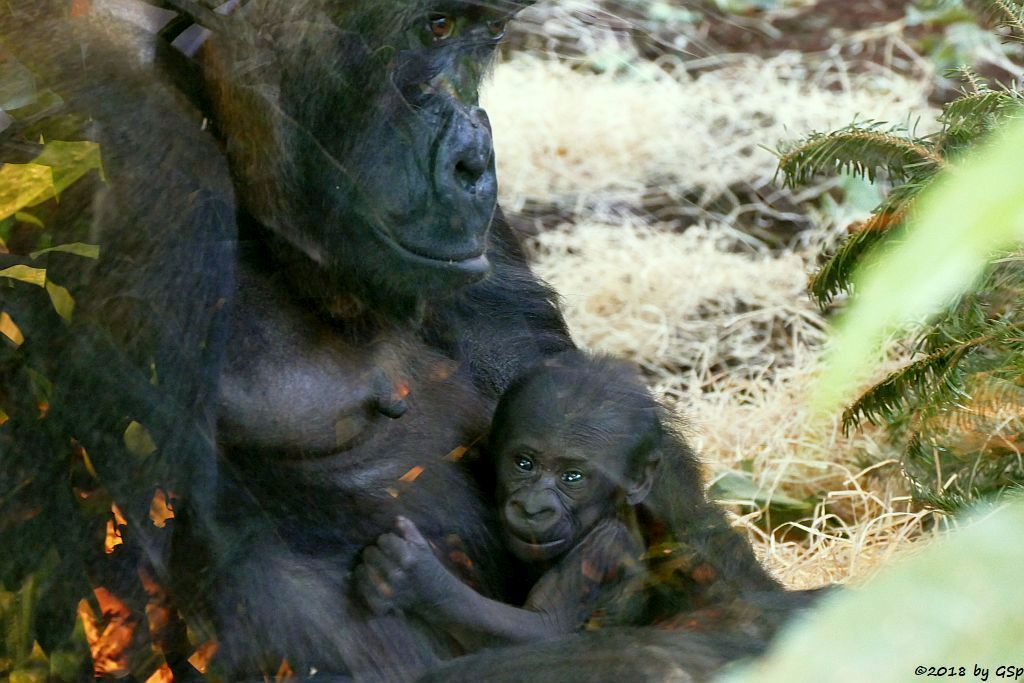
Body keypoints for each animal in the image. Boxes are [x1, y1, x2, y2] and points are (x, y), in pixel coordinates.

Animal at [356, 356, 659, 651]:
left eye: (572, 476)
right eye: (524, 463)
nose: (532, 508)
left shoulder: (604, 550)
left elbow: (544, 628)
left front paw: (420, 581)